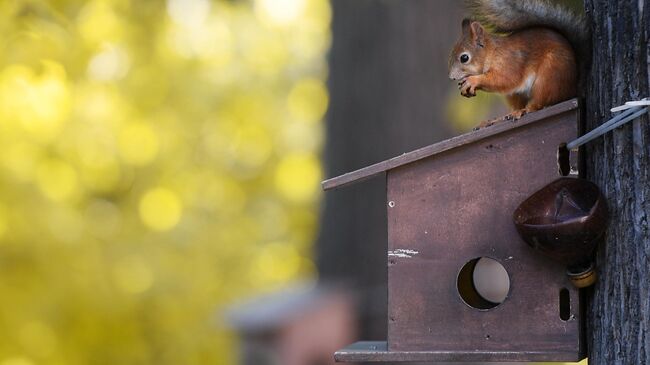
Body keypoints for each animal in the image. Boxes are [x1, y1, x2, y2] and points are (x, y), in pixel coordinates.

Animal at [446, 0, 588, 125]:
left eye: (464, 58)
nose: (451, 77)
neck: (492, 54)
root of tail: (573, 88)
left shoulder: (509, 63)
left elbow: (505, 79)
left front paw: (473, 80)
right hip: (517, 94)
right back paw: (498, 119)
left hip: (549, 77)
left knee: (538, 104)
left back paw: (522, 111)